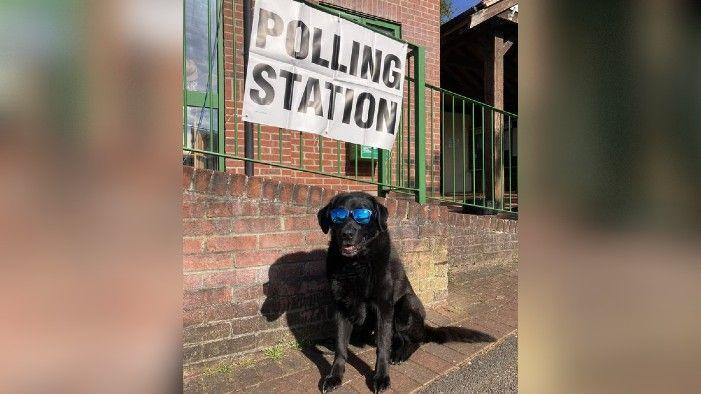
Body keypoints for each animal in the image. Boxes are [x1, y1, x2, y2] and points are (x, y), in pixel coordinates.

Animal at [318, 191, 492, 390]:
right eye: (337, 216)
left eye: (363, 215)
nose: (347, 233)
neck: (356, 264)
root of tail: (424, 326)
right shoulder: (341, 307)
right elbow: (340, 346)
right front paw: (334, 376)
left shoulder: (384, 307)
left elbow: (383, 347)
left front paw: (381, 377)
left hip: (405, 305)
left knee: (414, 340)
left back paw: (399, 354)